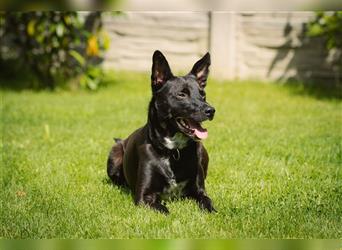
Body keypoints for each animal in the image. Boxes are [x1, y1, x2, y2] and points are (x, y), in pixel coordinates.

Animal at [107, 51, 216, 215]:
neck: (172, 152)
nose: (211, 110)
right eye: (182, 94)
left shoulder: (200, 191)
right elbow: (164, 210)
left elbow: (208, 203)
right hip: (114, 155)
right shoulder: (144, 197)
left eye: (203, 94)